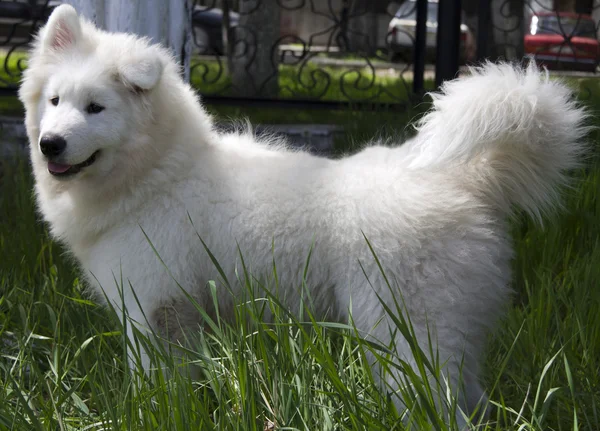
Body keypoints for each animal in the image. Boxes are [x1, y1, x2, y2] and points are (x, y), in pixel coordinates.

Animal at [19, 4, 584, 426]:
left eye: (96, 108)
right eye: (55, 101)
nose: (50, 145)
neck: (160, 174)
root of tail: (459, 179)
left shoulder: (154, 312)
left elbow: (155, 386)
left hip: (407, 337)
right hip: (444, 337)